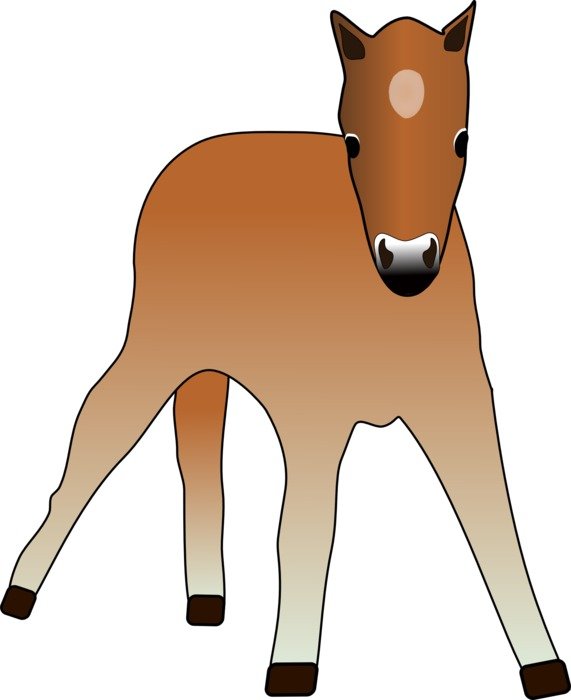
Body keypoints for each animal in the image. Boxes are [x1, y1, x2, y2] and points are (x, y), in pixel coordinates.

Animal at [2, 4, 569, 698]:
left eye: (462, 139)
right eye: (352, 141)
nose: (409, 261)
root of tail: (187, 158)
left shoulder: (459, 399)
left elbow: (495, 524)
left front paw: (544, 666)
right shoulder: (312, 414)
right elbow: (305, 528)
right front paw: (292, 665)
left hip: (206, 361)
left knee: (198, 451)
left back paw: (206, 600)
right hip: (155, 342)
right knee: (100, 431)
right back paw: (21, 592)